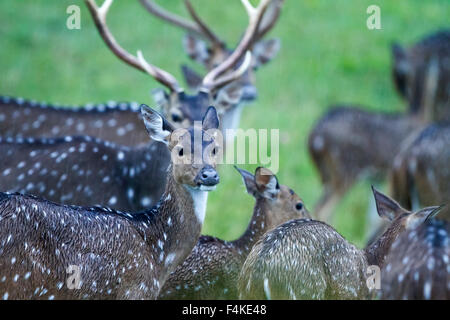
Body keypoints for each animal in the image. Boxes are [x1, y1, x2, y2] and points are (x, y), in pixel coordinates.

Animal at [308, 30, 448, 225]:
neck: (419, 115)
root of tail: (313, 140)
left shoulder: (379, 178)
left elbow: (374, 217)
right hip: (344, 172)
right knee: (324, 208)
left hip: (329, 177)